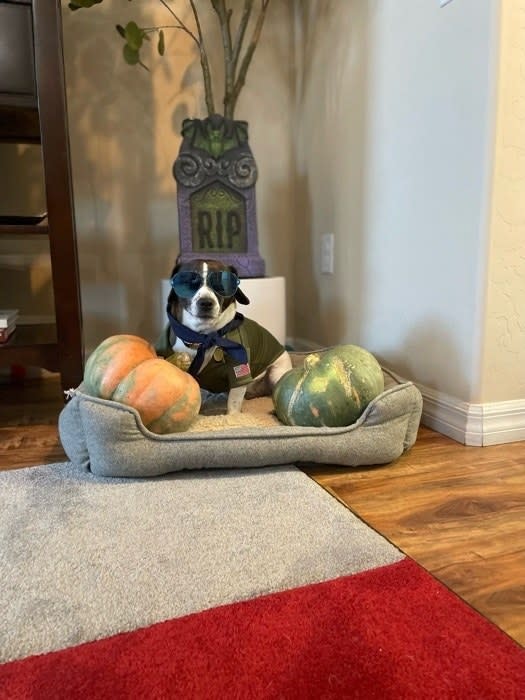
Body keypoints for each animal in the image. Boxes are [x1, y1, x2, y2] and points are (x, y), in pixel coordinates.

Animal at [156, 258, 292, 412]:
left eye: (221, 284)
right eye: (189, 281)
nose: (206, 303)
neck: (200, 337)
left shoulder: (239, 368)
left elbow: (233, 405)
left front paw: (233, 415)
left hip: (278, 374)